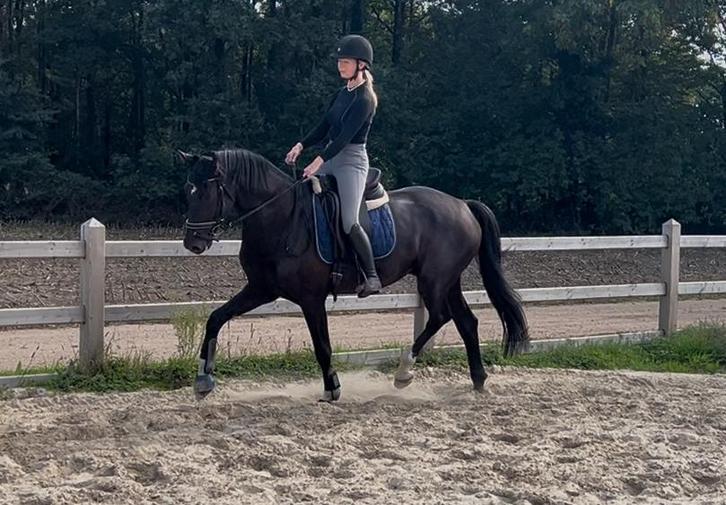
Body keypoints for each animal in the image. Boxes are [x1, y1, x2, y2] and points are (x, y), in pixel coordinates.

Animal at [179, 148, 529, 401]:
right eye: (188, 190)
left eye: (205, 192)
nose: (192, 243)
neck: (282, 217)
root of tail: (463, 205)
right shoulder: (261, 289)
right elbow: (216, 318)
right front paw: (204, 378)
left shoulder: (311, 298)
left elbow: (322, 345)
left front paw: (332, 388)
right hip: (448, 281)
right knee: (466, 322)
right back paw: (478, 381)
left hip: (434, 280)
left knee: (441, 317)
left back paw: (404, 372)